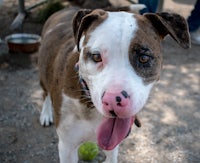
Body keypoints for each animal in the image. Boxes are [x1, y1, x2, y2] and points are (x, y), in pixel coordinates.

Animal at [38, 5, 191, 162]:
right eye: (96, 56)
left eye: (143, 58)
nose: (113, 100)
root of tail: (66, 9)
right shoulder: (67, 148)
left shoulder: (112, 145)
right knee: (45, 93)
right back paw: (46, 114)